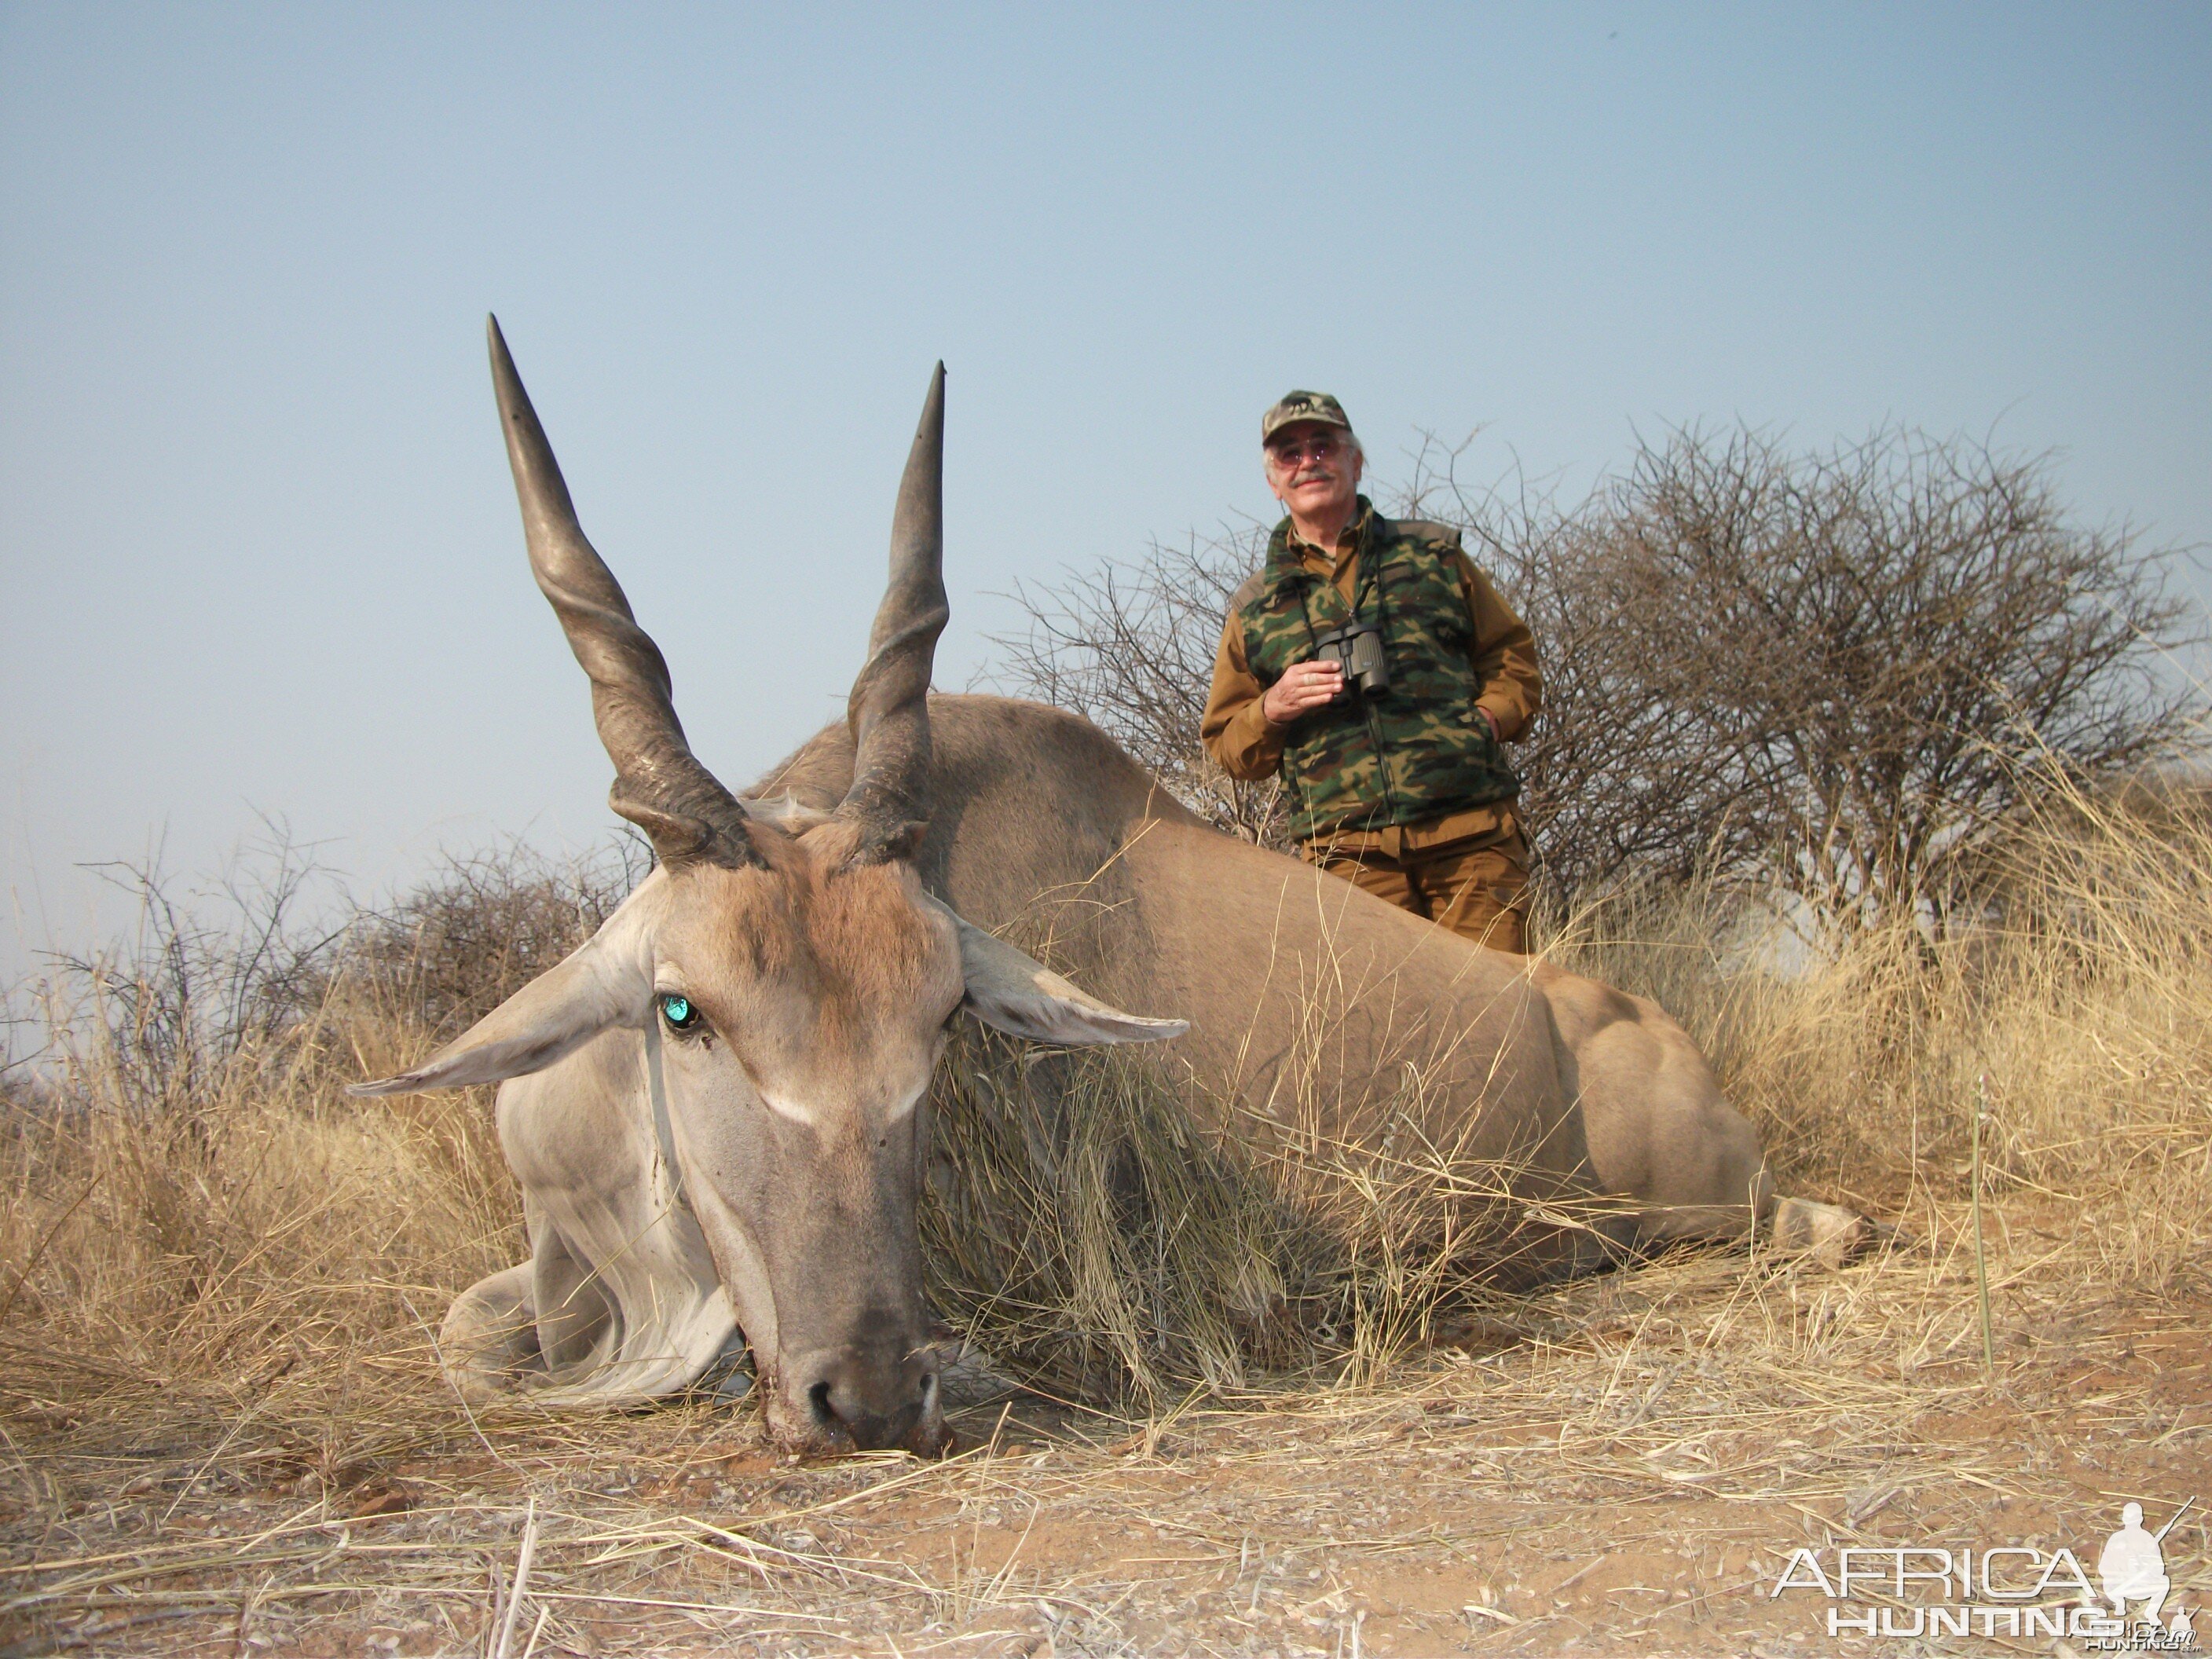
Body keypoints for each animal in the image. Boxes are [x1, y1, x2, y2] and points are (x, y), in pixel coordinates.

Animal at [353, 320, 1858, 1451]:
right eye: (683, 1012)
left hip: (1723, 1204)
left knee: (1808, 1230)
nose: (866, 1395)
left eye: (945, 1021)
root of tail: (1624, 1016)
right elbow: (466, 1330)